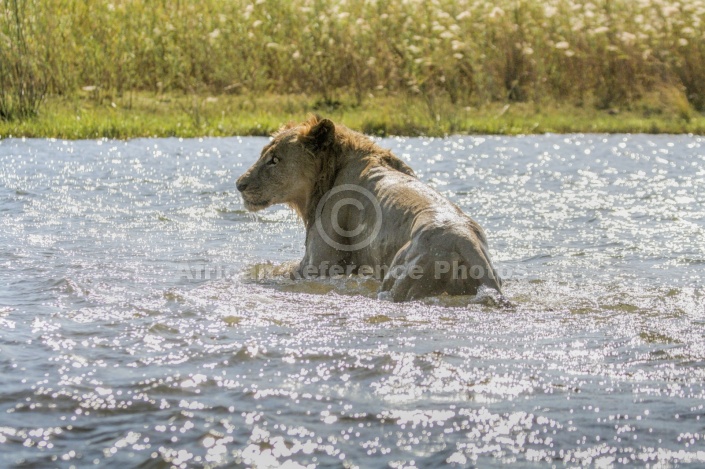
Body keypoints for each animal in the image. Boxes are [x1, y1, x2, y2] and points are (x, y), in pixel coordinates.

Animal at [236, 115, 500, 302]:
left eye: (274, 159)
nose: (239, 184)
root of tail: (467, 245)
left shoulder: (318, 262)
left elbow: (280, 271)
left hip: (400, 280)